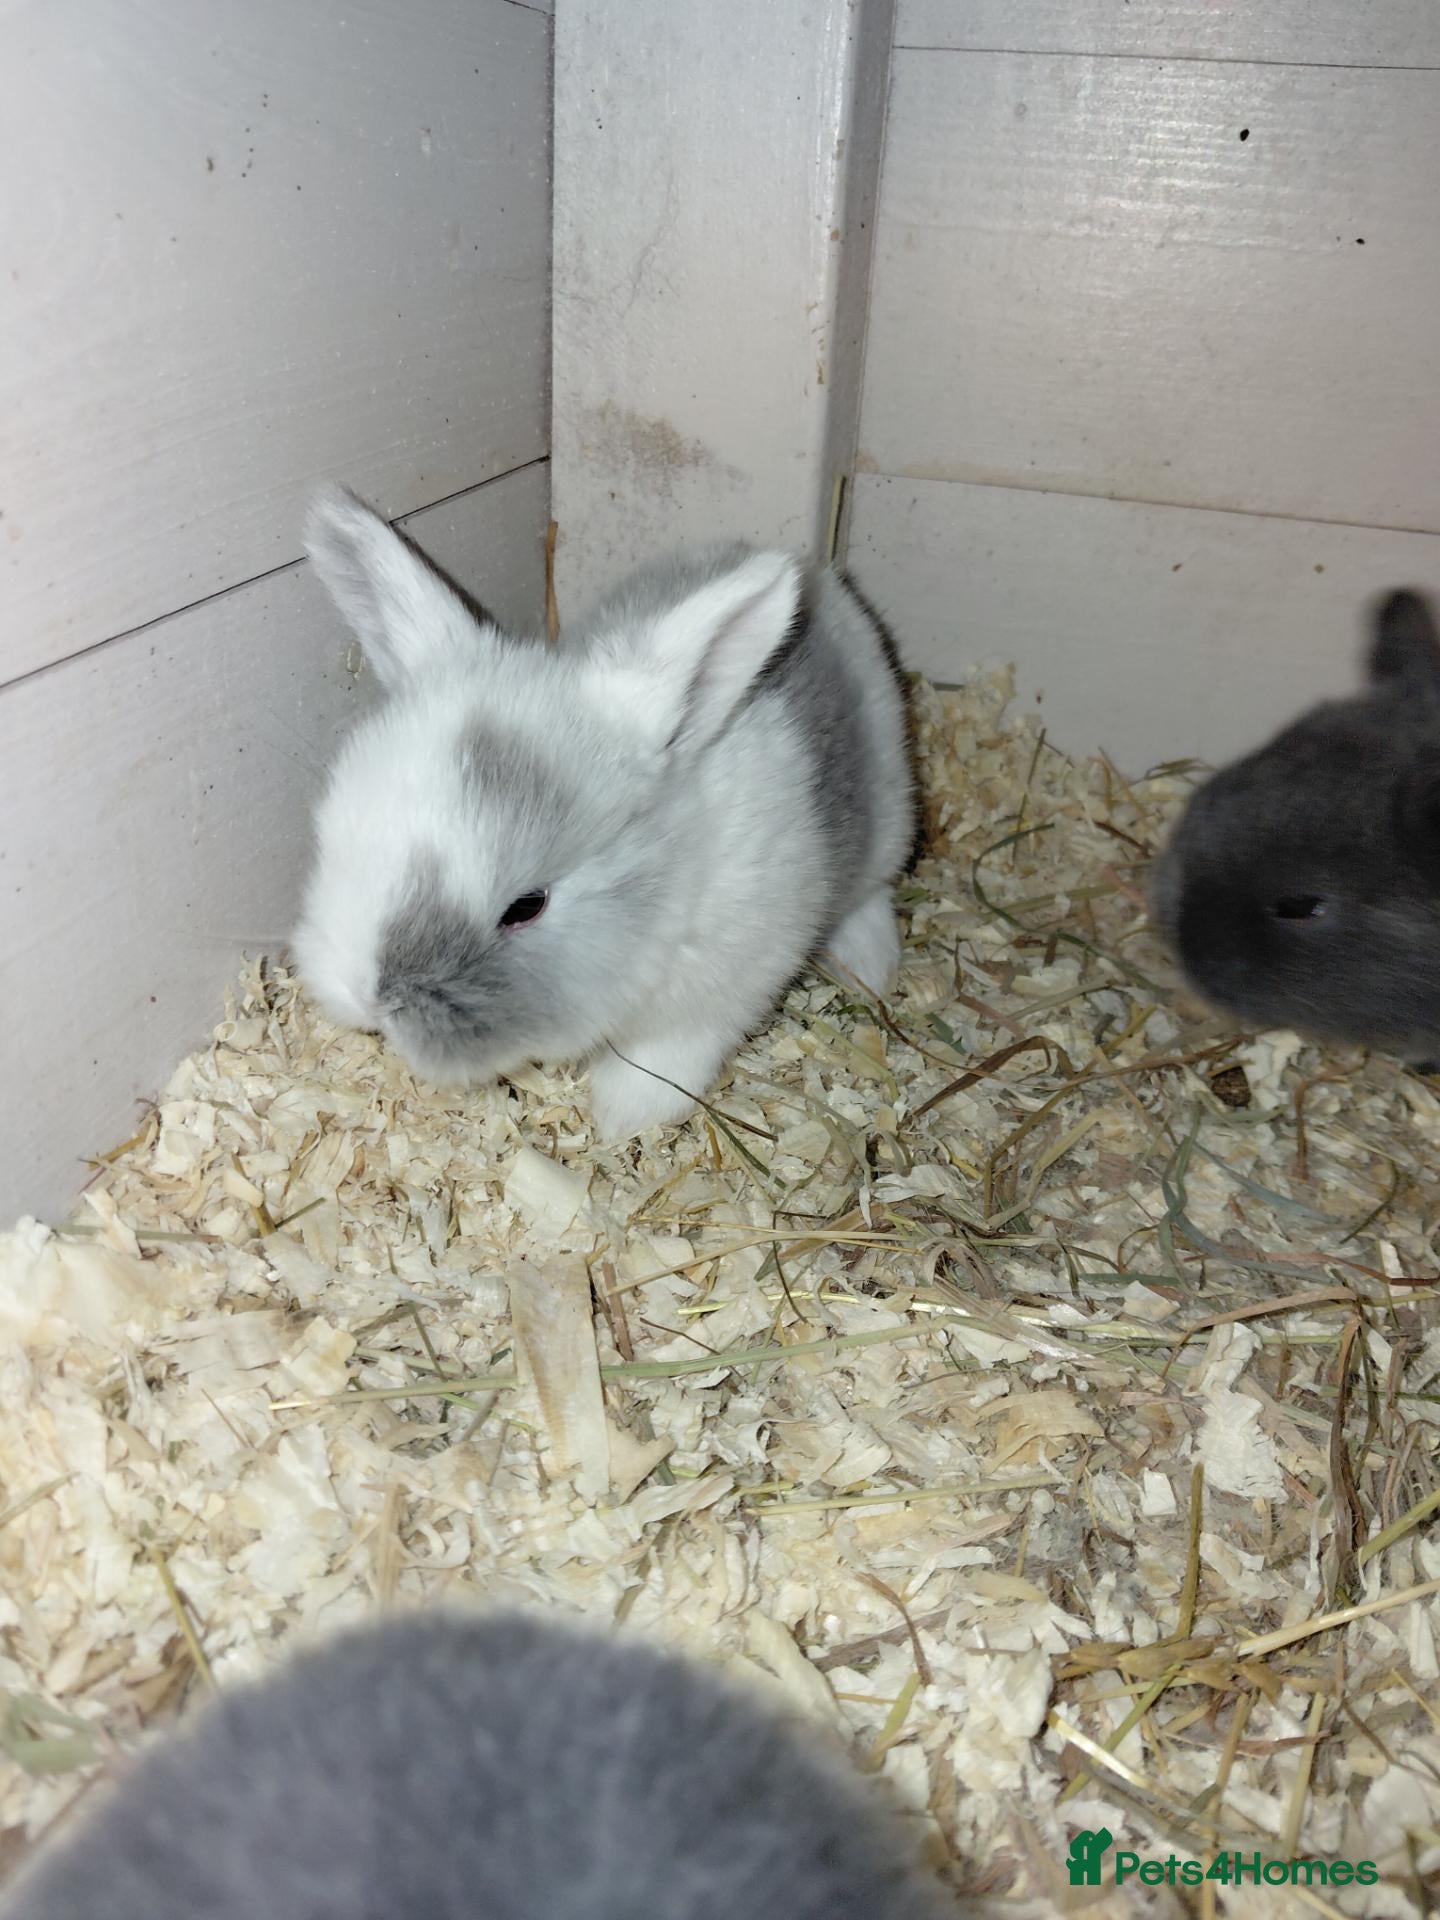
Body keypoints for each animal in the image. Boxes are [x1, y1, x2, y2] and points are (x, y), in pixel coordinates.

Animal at [292, 490, 915, 1138]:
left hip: (890, 818)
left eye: (527, 906)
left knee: (872, 894)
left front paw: (620, 1124)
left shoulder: (717, 996)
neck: (668, 892)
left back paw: (871, 968)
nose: (367, 999)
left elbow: (663, 1062)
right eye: (334, 841)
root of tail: (826, 582)